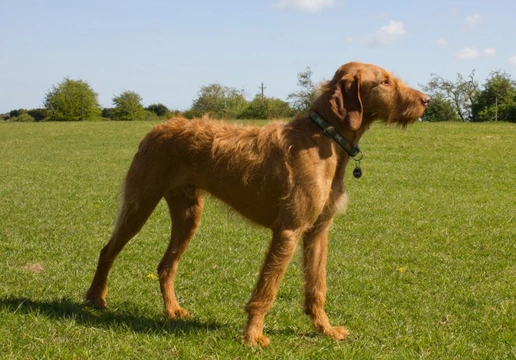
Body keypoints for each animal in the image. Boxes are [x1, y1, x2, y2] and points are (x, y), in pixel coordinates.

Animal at [85, 62, 432, 346]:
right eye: (384, 82)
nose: (426, 100)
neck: (324, 137)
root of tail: (155, 129)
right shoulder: (288, 230)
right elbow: (267, 289)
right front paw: (253, 335)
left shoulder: (318, 231)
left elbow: (316, 287)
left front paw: (325, 329)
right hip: (139, 204)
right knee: (107, 251)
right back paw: (95, 297)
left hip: (188, 214)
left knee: (166, 265)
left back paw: (172, 310)